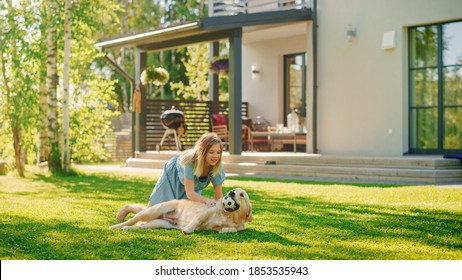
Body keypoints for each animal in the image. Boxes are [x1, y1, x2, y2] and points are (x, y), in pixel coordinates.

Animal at [108, 188, 253, 234]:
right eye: (234, 190)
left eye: (242, 194)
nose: (231, 192)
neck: (229, 215)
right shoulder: (204, 213)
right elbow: (197, 220)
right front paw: (188, 229)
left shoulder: (237, 227)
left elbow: (231, 229)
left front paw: (225, 229)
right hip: (152, 211)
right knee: (132, 219)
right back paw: (115, 226)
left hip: (158, 223)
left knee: (138, 226)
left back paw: (128, 228)